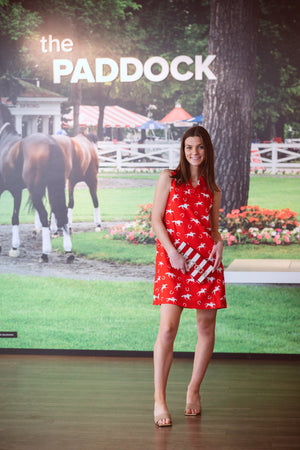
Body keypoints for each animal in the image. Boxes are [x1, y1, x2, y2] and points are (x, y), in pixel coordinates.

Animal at [0, 103, 73, 262]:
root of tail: (51, 144)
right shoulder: (16, 191)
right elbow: (15, 217)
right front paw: (14, 249)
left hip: (35, 191)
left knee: (44, 215)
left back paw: (45, 253)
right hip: (55, 187)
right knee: (62, 214)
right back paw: (68, 252)